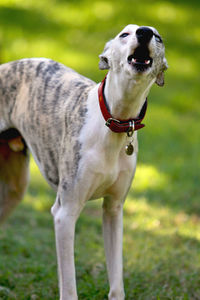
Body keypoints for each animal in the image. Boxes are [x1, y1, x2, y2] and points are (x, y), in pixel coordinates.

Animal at [0, 24, 167, 298]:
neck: (113, 121)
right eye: (124, 34)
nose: (144, 32)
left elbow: (116, 284)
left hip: (14, 188)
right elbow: (69, 288)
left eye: (158, 37)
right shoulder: (64, 213)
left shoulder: (113, 210)